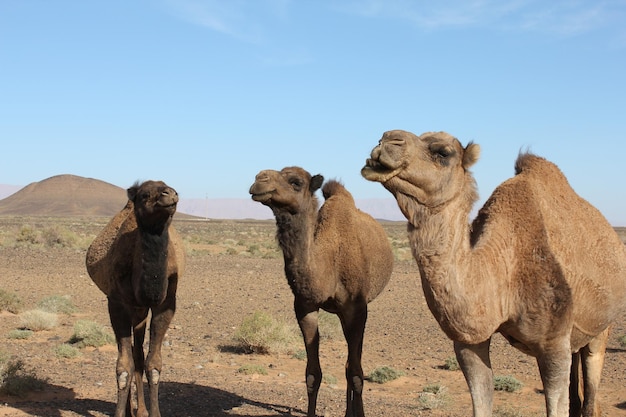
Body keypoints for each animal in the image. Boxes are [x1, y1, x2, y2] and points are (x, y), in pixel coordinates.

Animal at [85, 180, 184, 416]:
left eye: (169, 186)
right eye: (145, 194)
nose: (170, 194)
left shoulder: (166, 304)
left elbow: (153, 364)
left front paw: (154, 413)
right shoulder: (116, 303)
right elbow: (123, 367)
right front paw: (121, 413)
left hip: (141, 311)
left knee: (138, 354)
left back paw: (141, 411)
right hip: (132, 308)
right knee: (131, 354)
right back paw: (133, 410)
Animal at [247, 166, 390, 416]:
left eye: (295, 182)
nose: (259, 179)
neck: (329, 263)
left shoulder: (356, 308)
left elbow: (356, 374)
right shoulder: (305, 307)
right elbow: (313, 374)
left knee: (353, 363)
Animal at [358, 128, 624, 414]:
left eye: (442, 152)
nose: (386, 140)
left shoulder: (554, 343)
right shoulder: (469, 343)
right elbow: (481, 404)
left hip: (602, 328)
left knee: (592, 388)